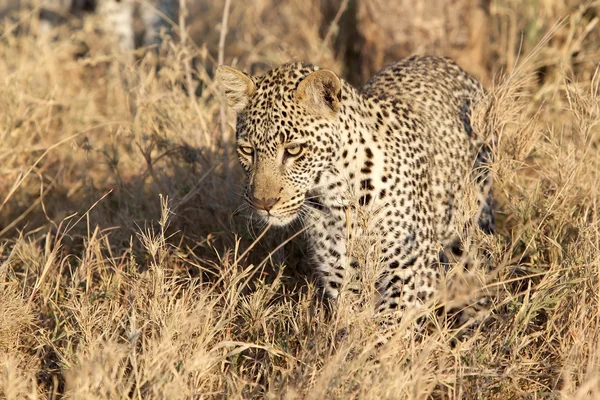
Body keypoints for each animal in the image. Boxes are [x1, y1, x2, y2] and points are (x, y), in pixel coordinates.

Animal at [214, 55, 492, 324]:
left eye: (293, 150)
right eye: (247, 150)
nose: (264, 203)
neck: (336, 194)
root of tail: (443, 61)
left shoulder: (412, 269)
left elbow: (385, 325)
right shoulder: (342, 275)